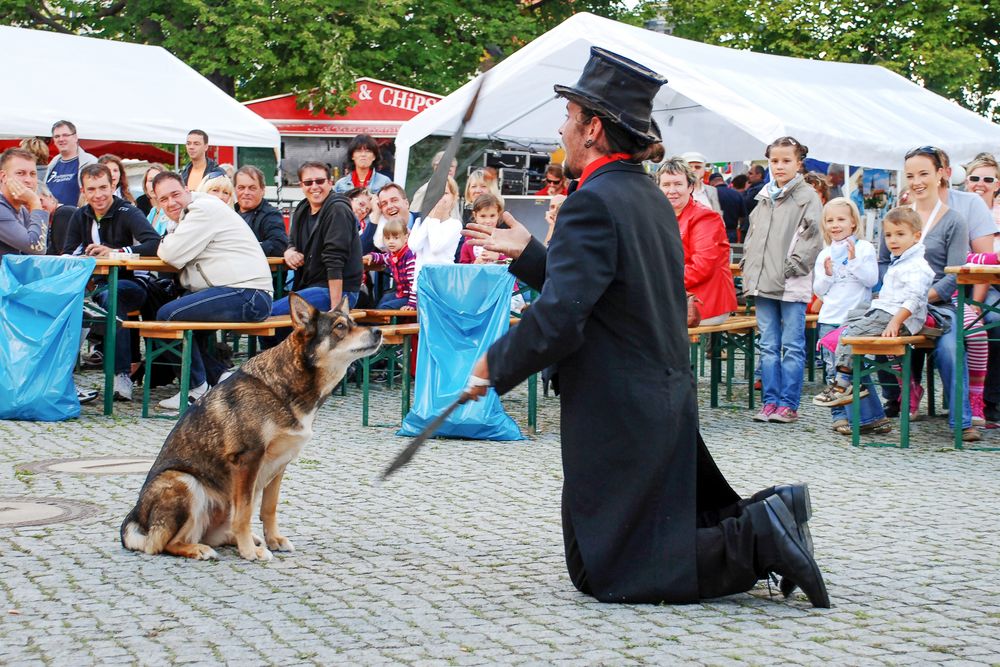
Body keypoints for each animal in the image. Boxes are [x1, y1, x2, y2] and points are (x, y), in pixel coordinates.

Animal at [121, 294, 378, 560]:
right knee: (165, 544)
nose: (379, 331)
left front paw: (273, 540)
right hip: (186, 482)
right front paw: (248, 552)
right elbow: (243, 513)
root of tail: (134, 520)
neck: (283, 387)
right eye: (340, 326)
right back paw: (201, 548)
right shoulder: (247, 459)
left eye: (352, 322)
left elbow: (269, 509)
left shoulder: (279, 464)